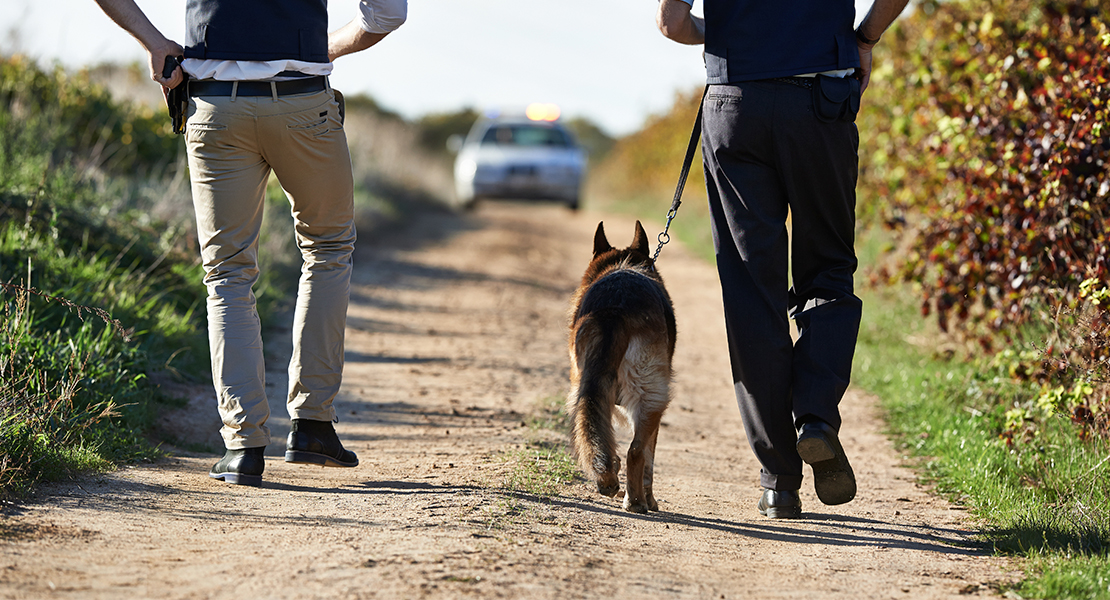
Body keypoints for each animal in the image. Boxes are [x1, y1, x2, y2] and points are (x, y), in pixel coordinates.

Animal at [568, 221, 670, 512]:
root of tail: (615, 310)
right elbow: (649, 458)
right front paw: (650, 500)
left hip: (584, 385)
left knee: (592, 421)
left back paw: (608, 480)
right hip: (653, 398)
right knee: (637, 451)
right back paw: (636, 501)